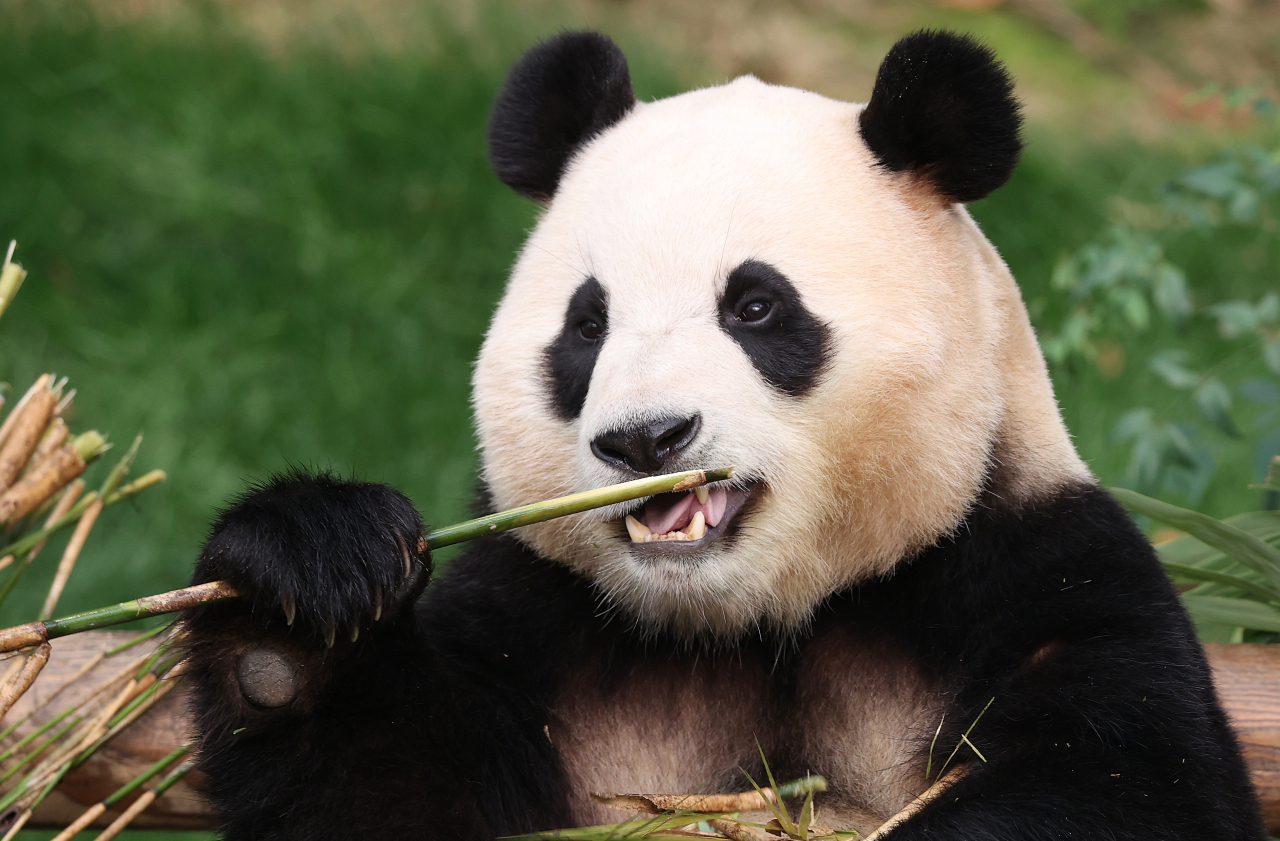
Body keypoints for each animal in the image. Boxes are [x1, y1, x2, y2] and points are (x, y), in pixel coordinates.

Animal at [183, 29, 1269, 834]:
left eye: (754, 307)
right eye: (587, 325)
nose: (645, 440)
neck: (745, 622)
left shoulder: (1029, 565)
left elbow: (1126, 784)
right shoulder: (537, 608)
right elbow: (393, 791)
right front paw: (302, 587)